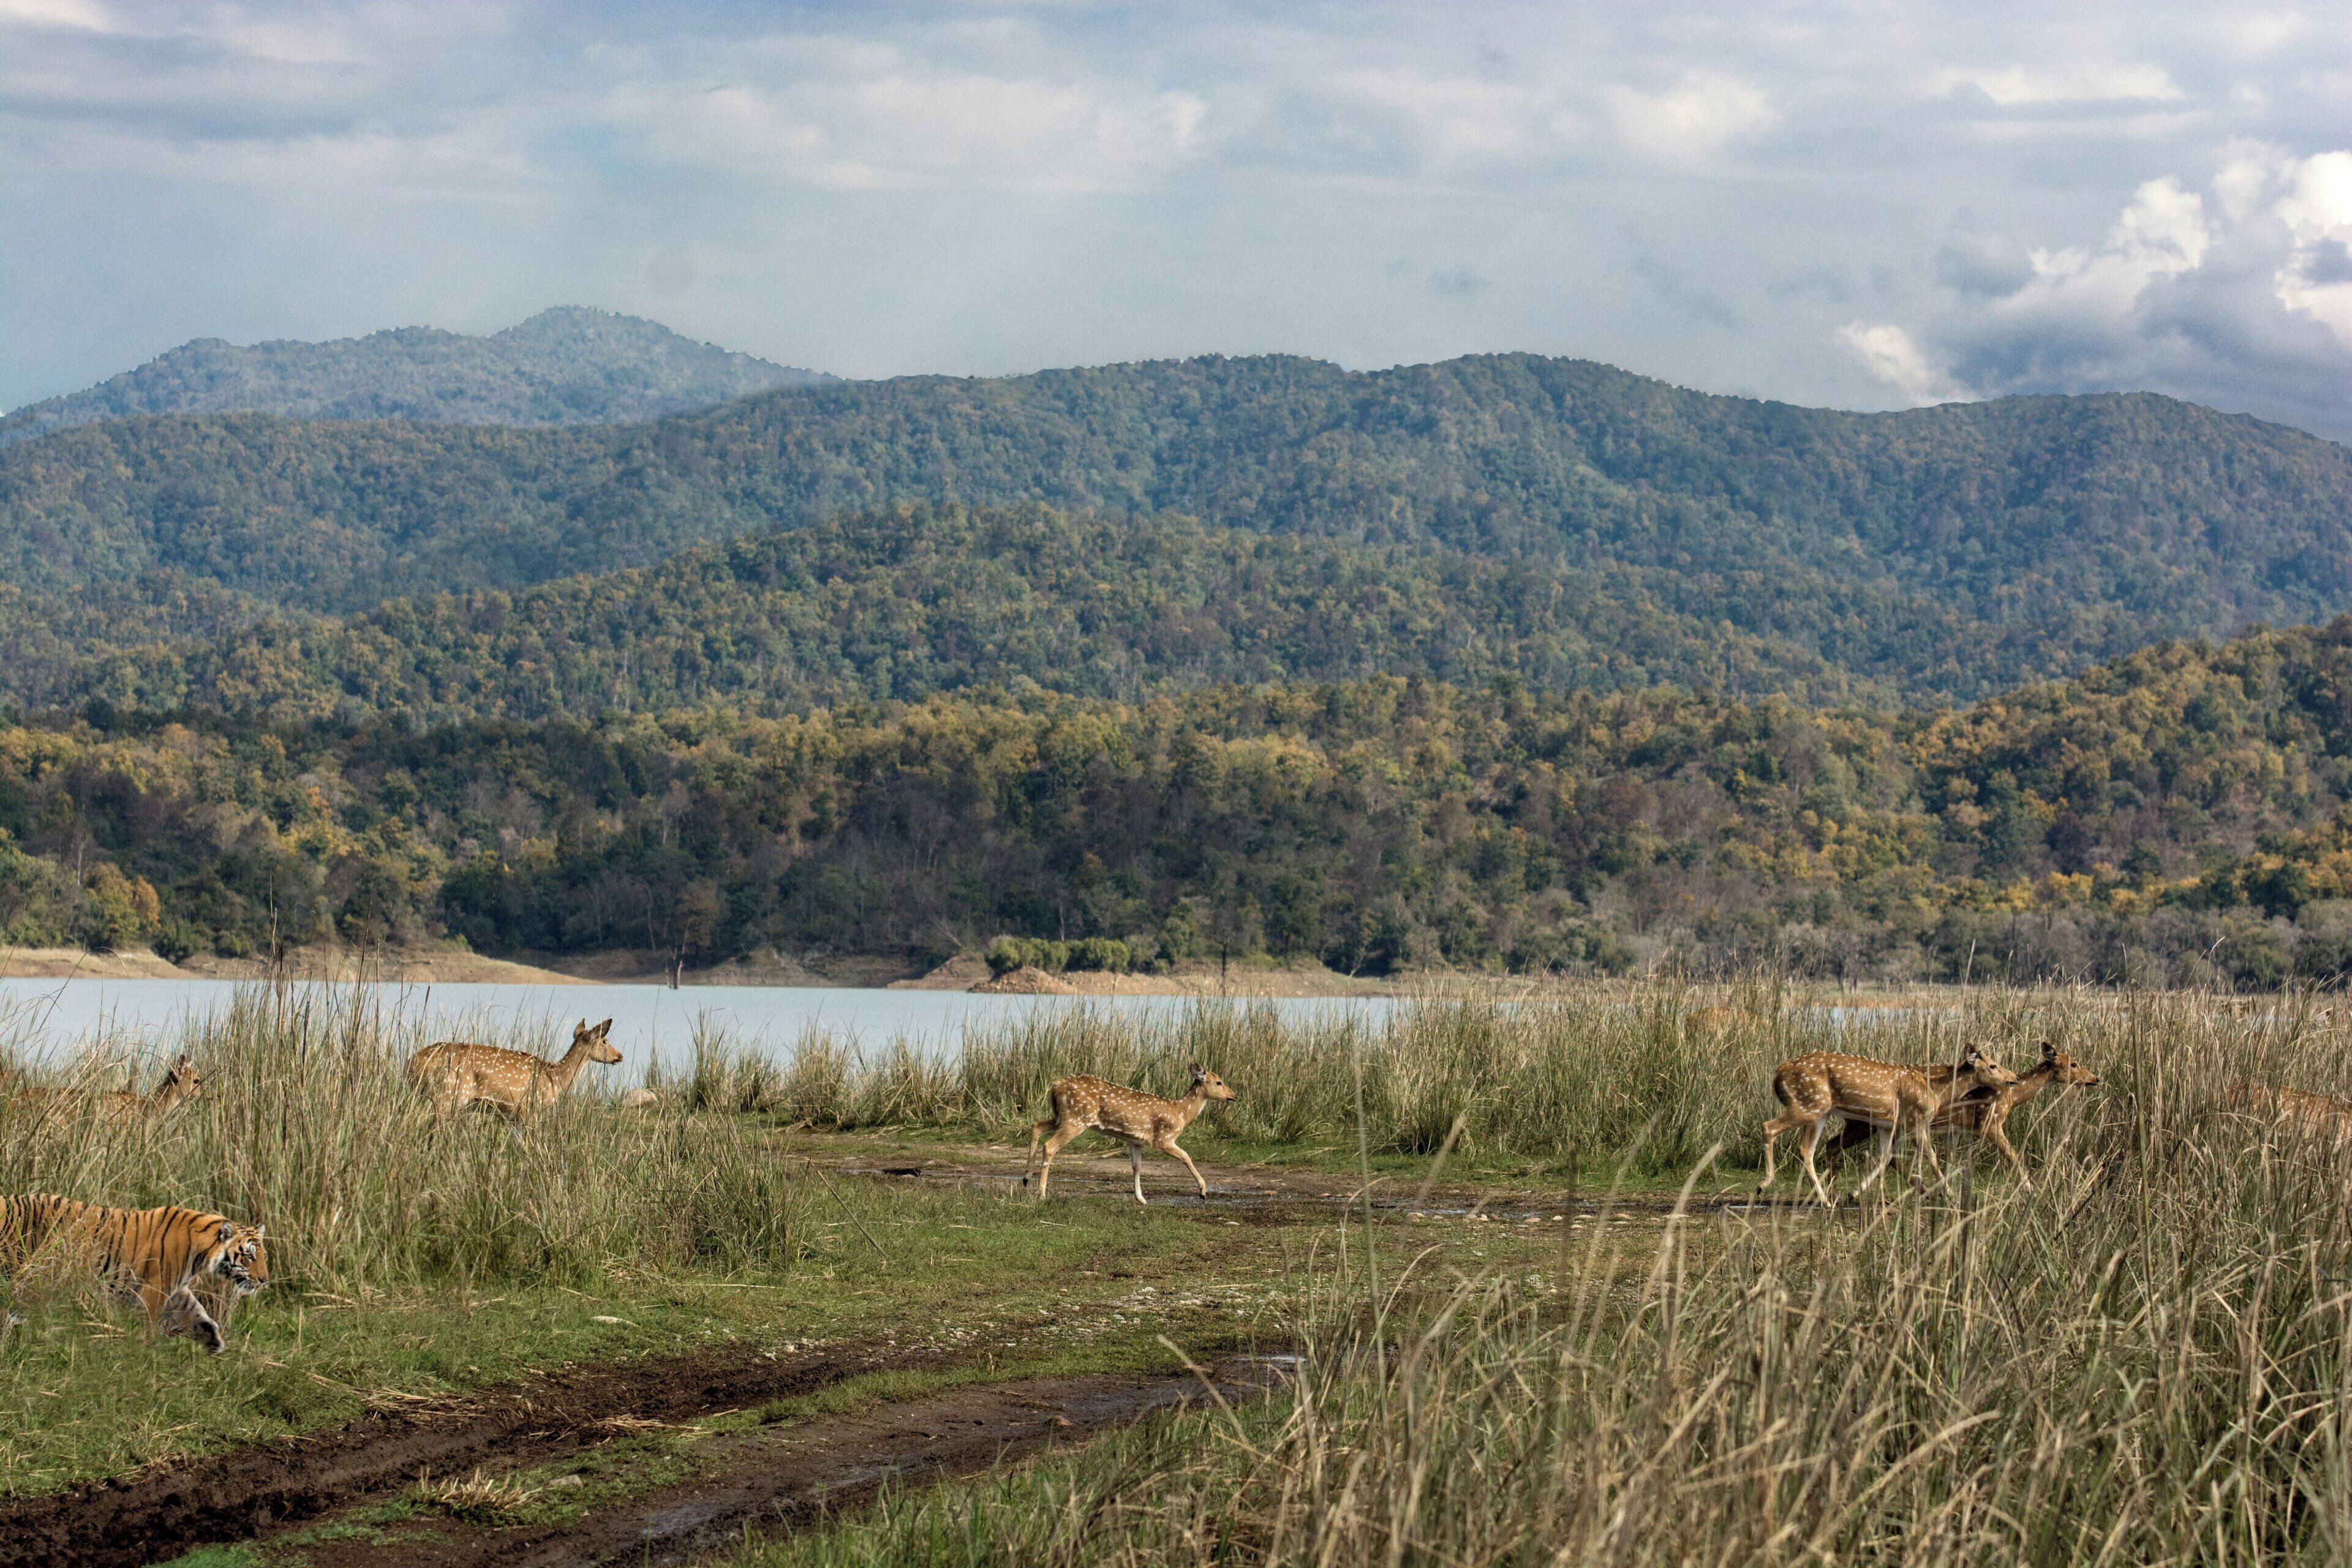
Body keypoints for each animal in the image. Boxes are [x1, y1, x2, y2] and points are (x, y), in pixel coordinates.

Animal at [0, 1194, 268, 1353]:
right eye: (249, 1256)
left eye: (263, 1256)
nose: (264, 1281)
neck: (203, 1251)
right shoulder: (155, 1289)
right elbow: (150, 1323)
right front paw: (144, 1354)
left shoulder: (175, 1289)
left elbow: (194, 1310)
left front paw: (212, 1337)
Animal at [406, 1019, 621, 1139]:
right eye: (605, 1041)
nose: (620, 1056)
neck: (554, 1078)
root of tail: (412, 1062)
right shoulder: (531, 1108)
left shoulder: (514, 1117)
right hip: (449, 1093)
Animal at [1024, 1063, 1238, 1204]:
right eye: (1219, 1082)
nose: (1234, 1096)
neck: (1182, 1114)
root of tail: (1055, 1087)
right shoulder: (1163, 1138)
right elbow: (1186, 1156)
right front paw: (1203, 1191)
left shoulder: (1136, 1141)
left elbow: (1137, 1166)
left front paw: (1141, 1198)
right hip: (1076, 1119)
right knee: (1049, 1146)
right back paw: (1041, 1193)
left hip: (1061, 1116)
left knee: (1036, 1126)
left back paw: (1026, 1178)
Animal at [1758, 1043, 2021, 1207]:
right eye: (1993, 1065)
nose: (2015, 1078)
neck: (1936, 1092)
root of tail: (1777, 1074)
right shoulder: (1916, 1120)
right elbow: (1932, 1157)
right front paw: (1950, 1195)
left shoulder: (1887, 1124)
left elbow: (1885, 1158)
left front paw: (1854, 1193)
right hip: (1808, 1105)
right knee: (1769, 1127)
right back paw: (1766, 1185)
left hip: (1819, 1110)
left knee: (1807, 1148)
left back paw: (1826, 1200)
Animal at [1818, 1039, 2097, 1190]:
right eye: (2073, 1063)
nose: (2095, 1078)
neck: (2012, 1098)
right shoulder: (1989, 1122)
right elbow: (2015, 1157)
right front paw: (2030, 1189)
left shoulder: (1958, 1129)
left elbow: (1954, 1161)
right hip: (1865, 1124)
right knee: (1841, 1146)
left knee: (1848, 1148)